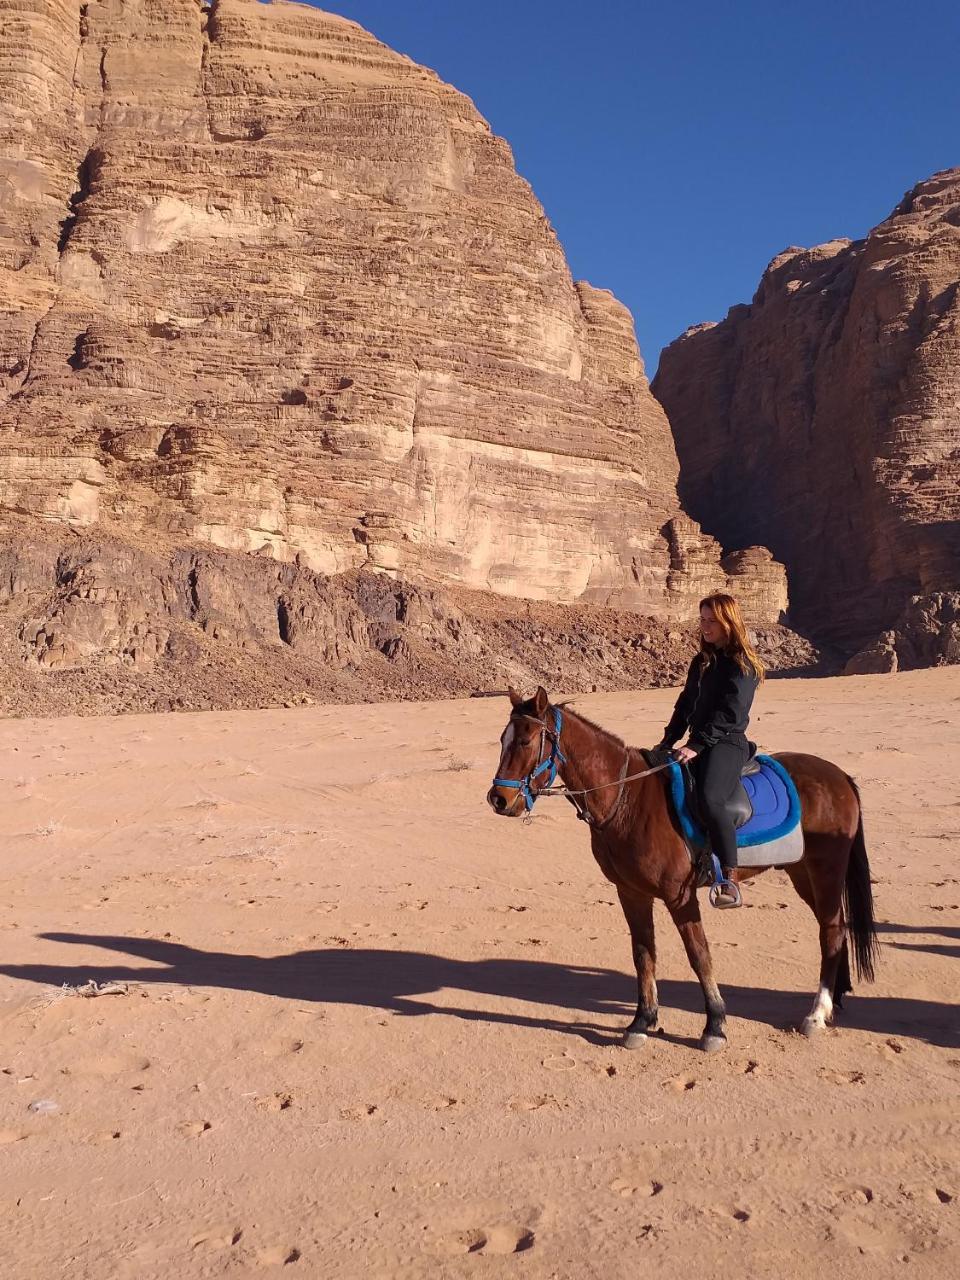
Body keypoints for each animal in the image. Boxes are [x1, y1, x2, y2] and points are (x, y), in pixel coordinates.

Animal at [488, 691, 880, 1049]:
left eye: (525, 741)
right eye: (503, 739)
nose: (498, 799)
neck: (627, 798)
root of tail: (839, 775)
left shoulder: (680, 896)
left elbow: (699, 956)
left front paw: (715, 1026)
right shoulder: (631, 893)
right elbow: (643, 955)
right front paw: (641, 1022)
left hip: (825, 869)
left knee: (831, 930)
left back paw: (816, 1014)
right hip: (802, 872)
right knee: (835, 926)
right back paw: (834, 1001)